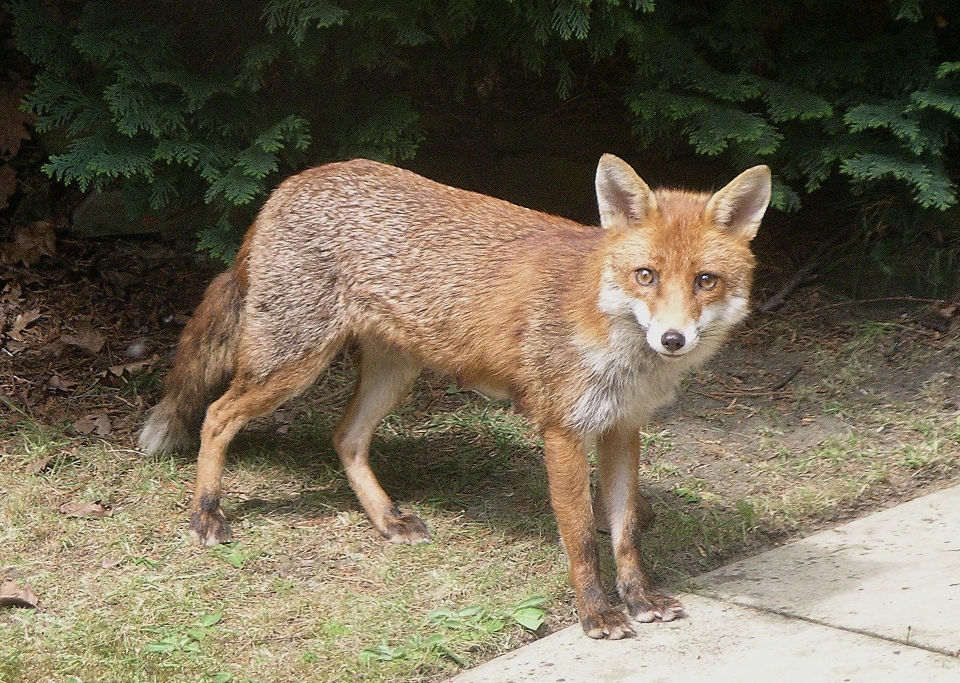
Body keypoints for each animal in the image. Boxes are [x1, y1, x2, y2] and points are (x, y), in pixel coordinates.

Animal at [141, 155, 772, 640]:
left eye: (706, 281)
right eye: (646, 275)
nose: (673, 339)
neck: (613, 337)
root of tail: (292, 182)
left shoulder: (621, 429)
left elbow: (624, 533)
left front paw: (640, 599)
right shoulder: (563, 431)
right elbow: (581, 540)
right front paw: (597, 614)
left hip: (393, 374)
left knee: (344, 438)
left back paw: (387, 520)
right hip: (292, 366)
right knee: (217, 415)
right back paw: (206, 513)